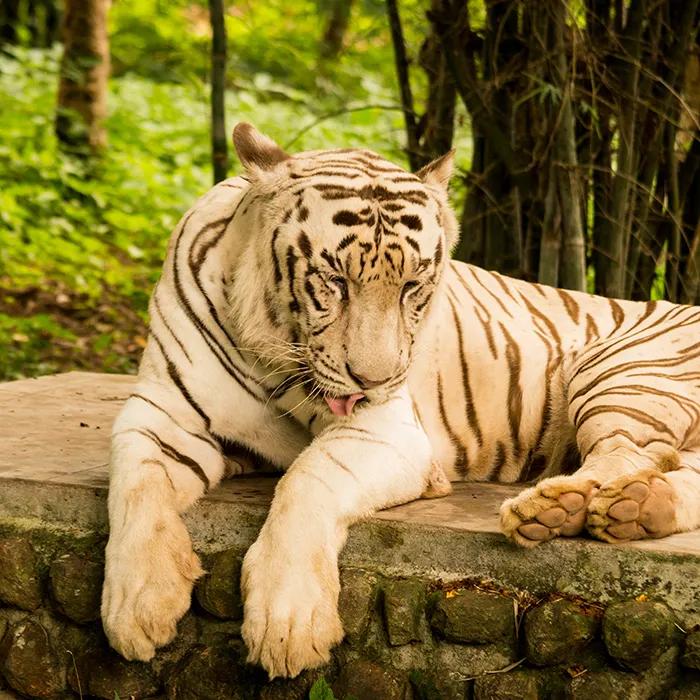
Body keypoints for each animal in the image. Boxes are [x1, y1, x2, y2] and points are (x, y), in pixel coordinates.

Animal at [102, 122, 700, 680]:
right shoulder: (162, 414)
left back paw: (556, 507)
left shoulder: (387, 430)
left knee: (629, 453)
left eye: (413, 286)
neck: (274, 358)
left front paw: (288, 623)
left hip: (621, 372)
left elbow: (305, 479)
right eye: (334, 280)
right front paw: (137, 606)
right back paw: (634, 510)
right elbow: (135, 488)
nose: (375, 379)